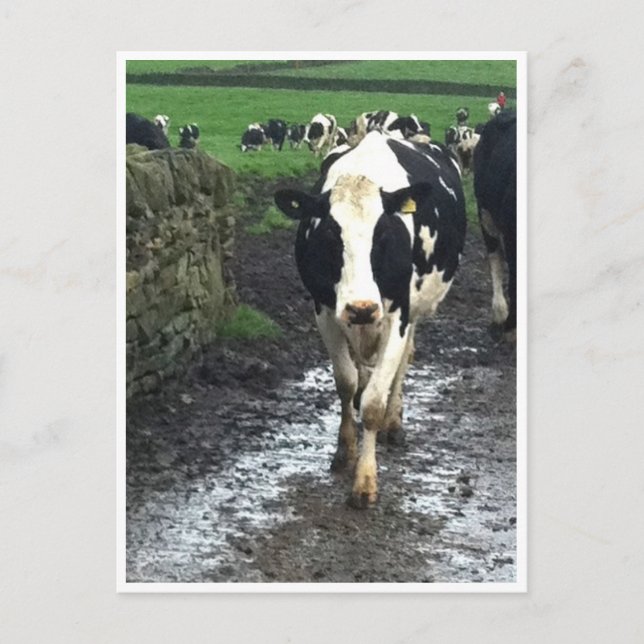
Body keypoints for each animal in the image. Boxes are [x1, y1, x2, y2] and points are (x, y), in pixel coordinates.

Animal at [274, 131, 466, 507]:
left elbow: (375, 401)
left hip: (413, 311)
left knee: (402, 363)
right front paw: (345, 450)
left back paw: (394, 423)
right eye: (330, 233)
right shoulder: (325, 312)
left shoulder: (398, 315)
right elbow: (346, 383)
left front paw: (365, 482)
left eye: (384, 234)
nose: (361, 307)